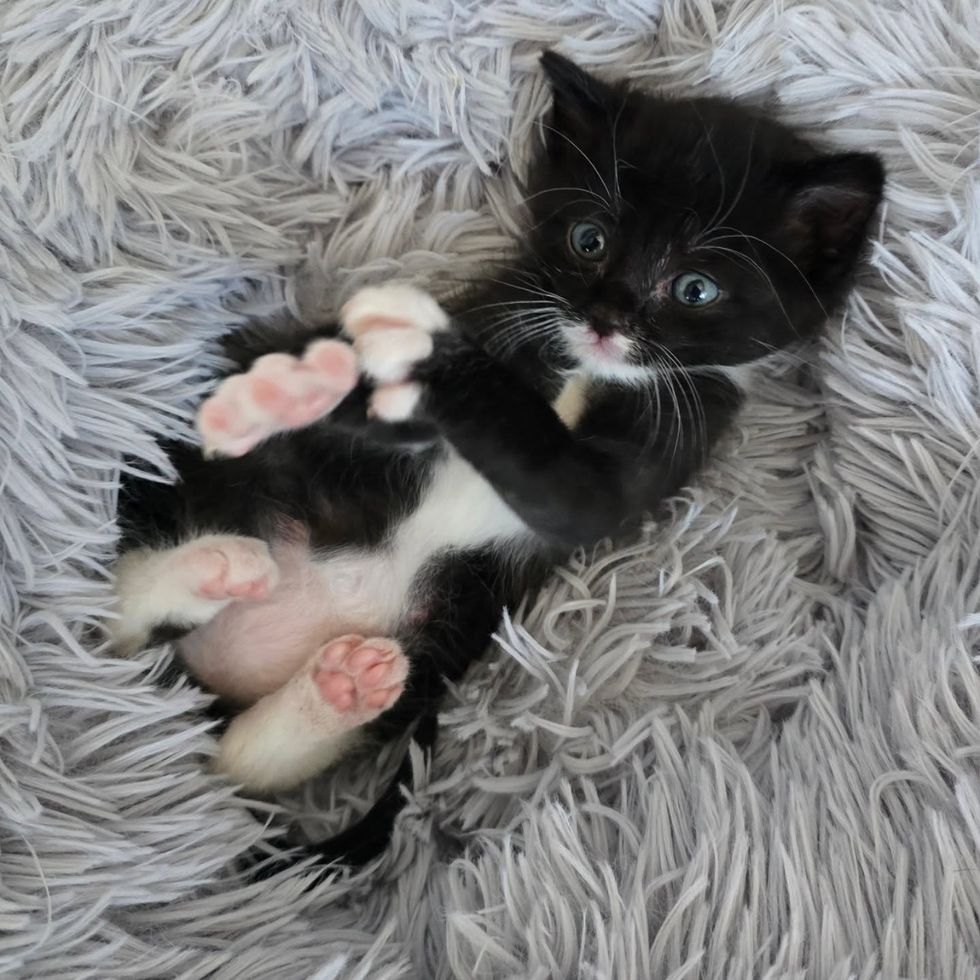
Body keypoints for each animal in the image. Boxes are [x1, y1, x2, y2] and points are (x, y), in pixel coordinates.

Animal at [111, 53, 884, 864]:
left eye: (695, 288)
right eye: (588, 240)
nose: (605, 319)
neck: (585, 370)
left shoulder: (654, 450)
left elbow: (548, 463)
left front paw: (421, 356)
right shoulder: (499, 310)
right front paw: (302, 384)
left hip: (449, 629)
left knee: (234, 758)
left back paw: (331, 682)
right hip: (233, 488)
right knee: (125, 629)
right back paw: (210, 569)